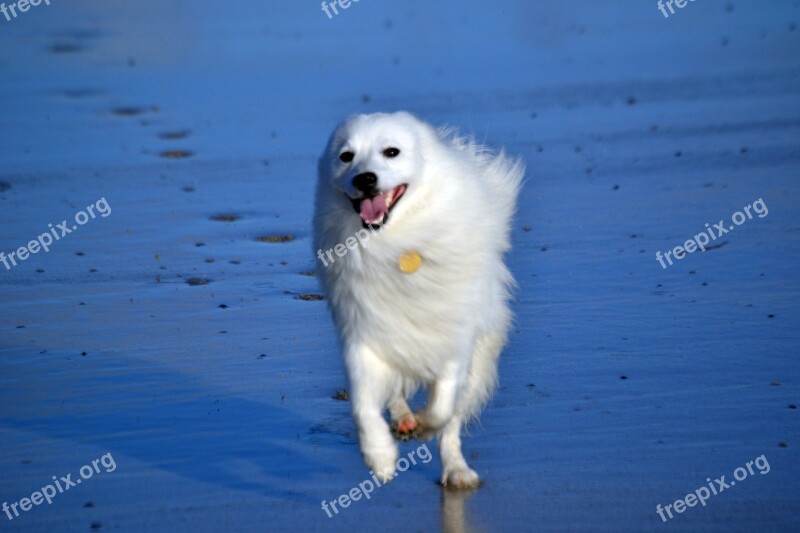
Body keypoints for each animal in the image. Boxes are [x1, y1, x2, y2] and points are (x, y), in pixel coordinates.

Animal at [312, 112, 524, 490]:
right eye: (346, 157)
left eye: (391, 152)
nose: (365, 178)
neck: (398, 244)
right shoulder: (363, 337)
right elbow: (363, 406)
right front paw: (380, 457)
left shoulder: (455, 341)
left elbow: (442, 409)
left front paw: (426, 427)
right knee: (395, 394)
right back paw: (403, 420)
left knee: (452, 424)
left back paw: (456, 471)